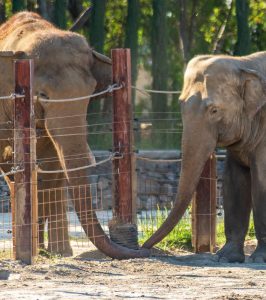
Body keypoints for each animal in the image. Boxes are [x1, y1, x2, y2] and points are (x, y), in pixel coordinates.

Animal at [0, 11, 150, 258]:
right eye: (42, 95)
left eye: (89, 94)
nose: (144, 249)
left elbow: (51, 168)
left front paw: (51, 253)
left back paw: (54, 251)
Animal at [142, 51, 266, 262]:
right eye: (181, 105)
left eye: (214, 110)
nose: (142, 248)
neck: (244, 62)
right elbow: (234, 181)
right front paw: (225, 258)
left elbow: (261, 181)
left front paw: (259, 259)